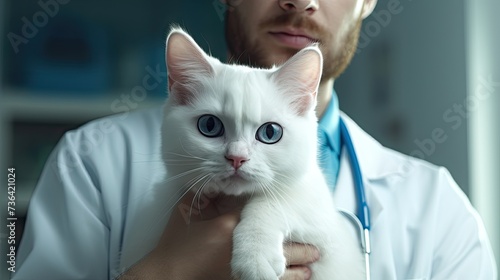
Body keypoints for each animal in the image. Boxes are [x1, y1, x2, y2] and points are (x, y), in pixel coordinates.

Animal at [162, 28, 366, 280]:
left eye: (270, 132)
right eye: (209, 125)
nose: (236, 158)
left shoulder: (323, 220)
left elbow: (271, 202)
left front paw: (254, 258)